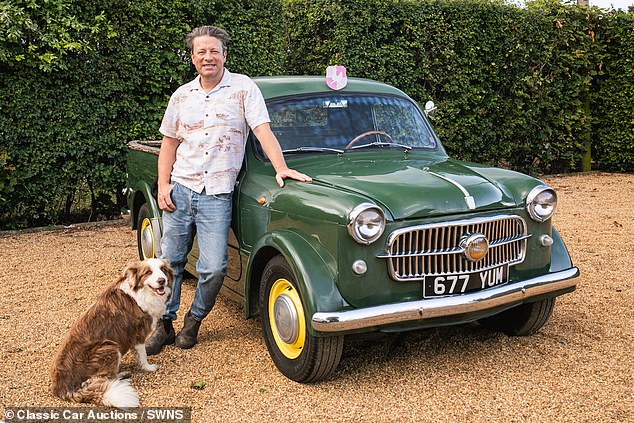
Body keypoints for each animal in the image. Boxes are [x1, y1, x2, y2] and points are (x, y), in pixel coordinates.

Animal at [50, 256, 173, 410]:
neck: (141, 293)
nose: (162, 280)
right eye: (148, 272)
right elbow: (143, 355)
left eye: (163, 270)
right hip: (109, 347)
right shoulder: (138, 334)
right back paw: (121, 376)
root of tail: (64, 388)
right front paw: (148, 368)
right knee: (103, 379)